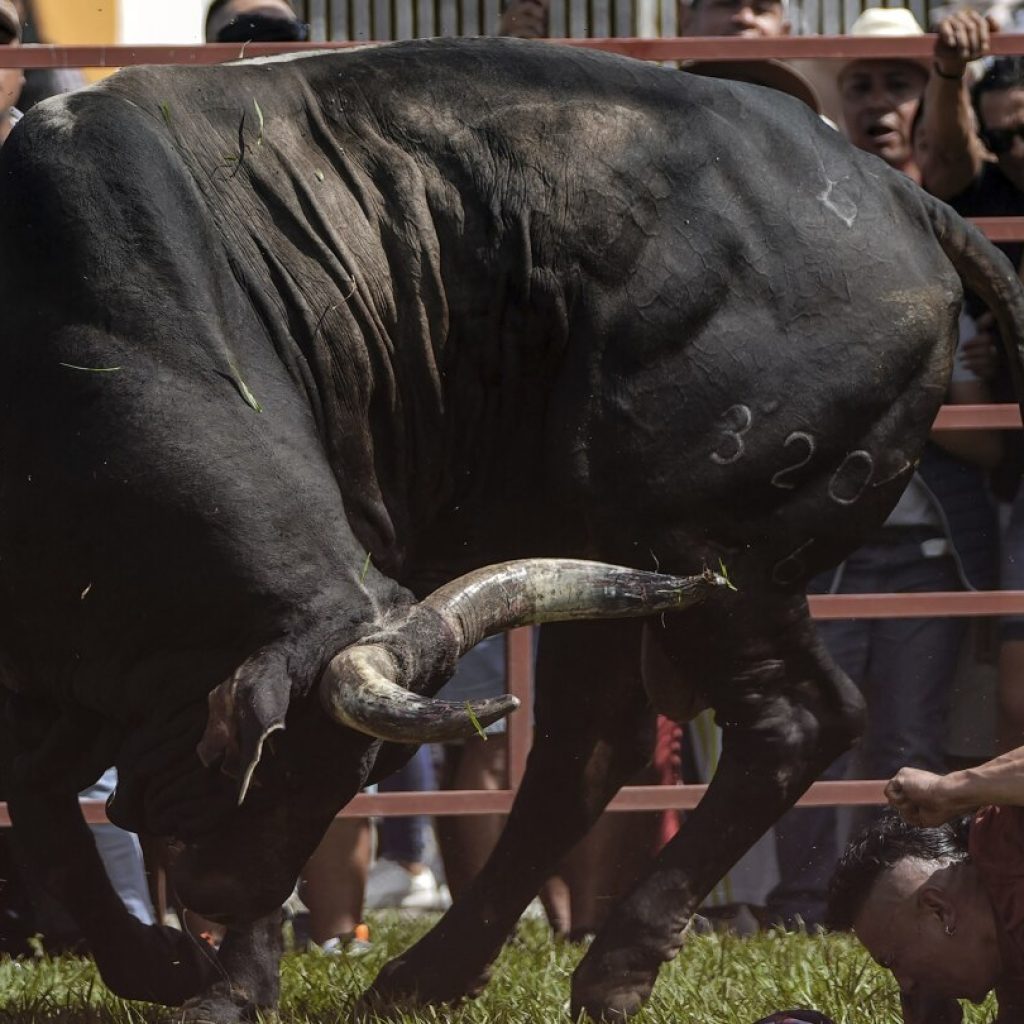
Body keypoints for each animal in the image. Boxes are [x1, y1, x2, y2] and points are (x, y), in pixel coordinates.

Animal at [0, 36, 1019, 1019]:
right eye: (286, 766)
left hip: (723, 558)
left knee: (790, 720)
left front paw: (212, 980)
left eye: (350, 773)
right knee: (586, 750)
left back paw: (609, 966)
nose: (220, 893)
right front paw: (173, 967)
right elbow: (38, 796)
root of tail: (900, 193)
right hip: (608, 562)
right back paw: (433, 972)